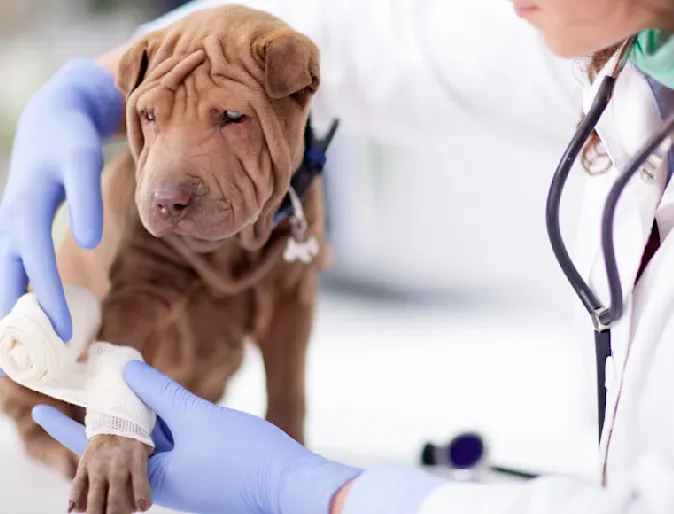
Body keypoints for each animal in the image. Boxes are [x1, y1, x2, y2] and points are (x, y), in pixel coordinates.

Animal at [0, 5, 326, 512]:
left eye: (234, 116)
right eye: (149, 115)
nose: (166, 201)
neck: (234, 248)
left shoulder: (294, 297)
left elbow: (288, 387)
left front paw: (291, 456)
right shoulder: (139, 289)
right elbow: (123, 366)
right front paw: (110, 459)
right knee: (31, 416)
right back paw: (62, 451)